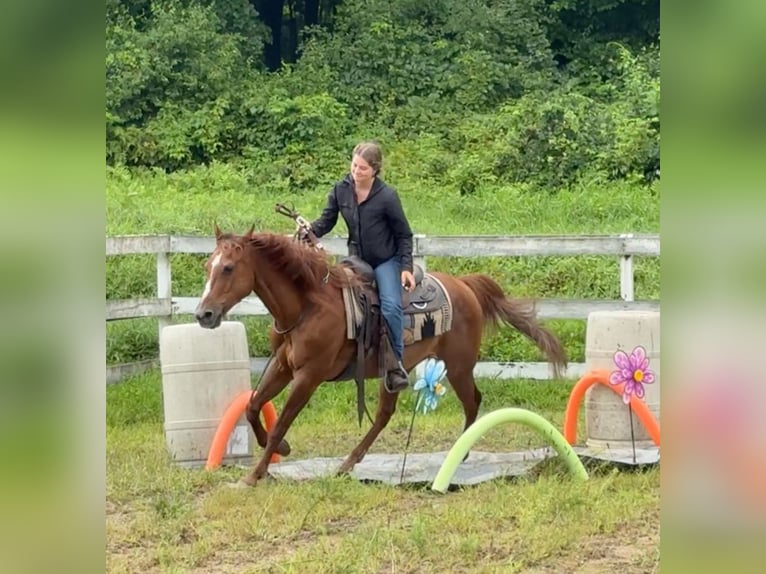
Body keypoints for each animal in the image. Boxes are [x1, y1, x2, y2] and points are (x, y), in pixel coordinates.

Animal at [195, 227, 568, 488]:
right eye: (207, 265)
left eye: (228, 268)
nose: (204, 314)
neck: (307, 305)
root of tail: (464, 284)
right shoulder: (283, 366)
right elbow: (253, 407)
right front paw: (281, 451)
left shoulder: (309, 376)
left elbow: (281, 421)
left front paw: (255, 473)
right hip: (394, 373)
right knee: (384, 415)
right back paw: (347, 464)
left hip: (459, 366)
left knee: (473, 402)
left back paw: (459, 453)